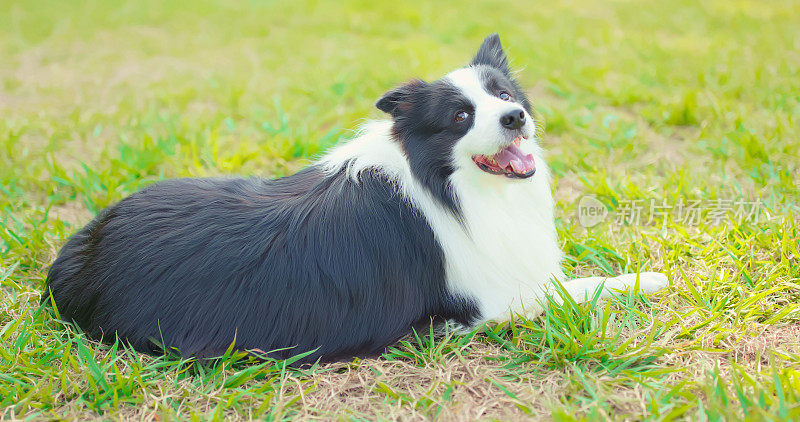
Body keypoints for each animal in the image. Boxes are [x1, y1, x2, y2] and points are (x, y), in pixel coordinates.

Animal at [45, 33, 668, 362]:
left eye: (505, 95)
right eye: (461, 116)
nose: (515, 117)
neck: (448, 184)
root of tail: (81, 255)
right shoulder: (485, 303)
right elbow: (578, 287)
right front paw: (651, 278)